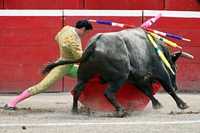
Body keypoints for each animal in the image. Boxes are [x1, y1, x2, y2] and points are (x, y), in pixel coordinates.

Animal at [43, 27, 189, 117]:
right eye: (175, 68)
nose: (177, 86)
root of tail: (93, 45)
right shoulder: (160, 71)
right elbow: (167, 88)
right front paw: (183, 104)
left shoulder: (136, 79)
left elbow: (147, 91)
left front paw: (158, 105)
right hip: (120, 77)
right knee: (109, 93)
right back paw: (121, 111)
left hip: (84, 76)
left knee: (77, 90)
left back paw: (75, 111)